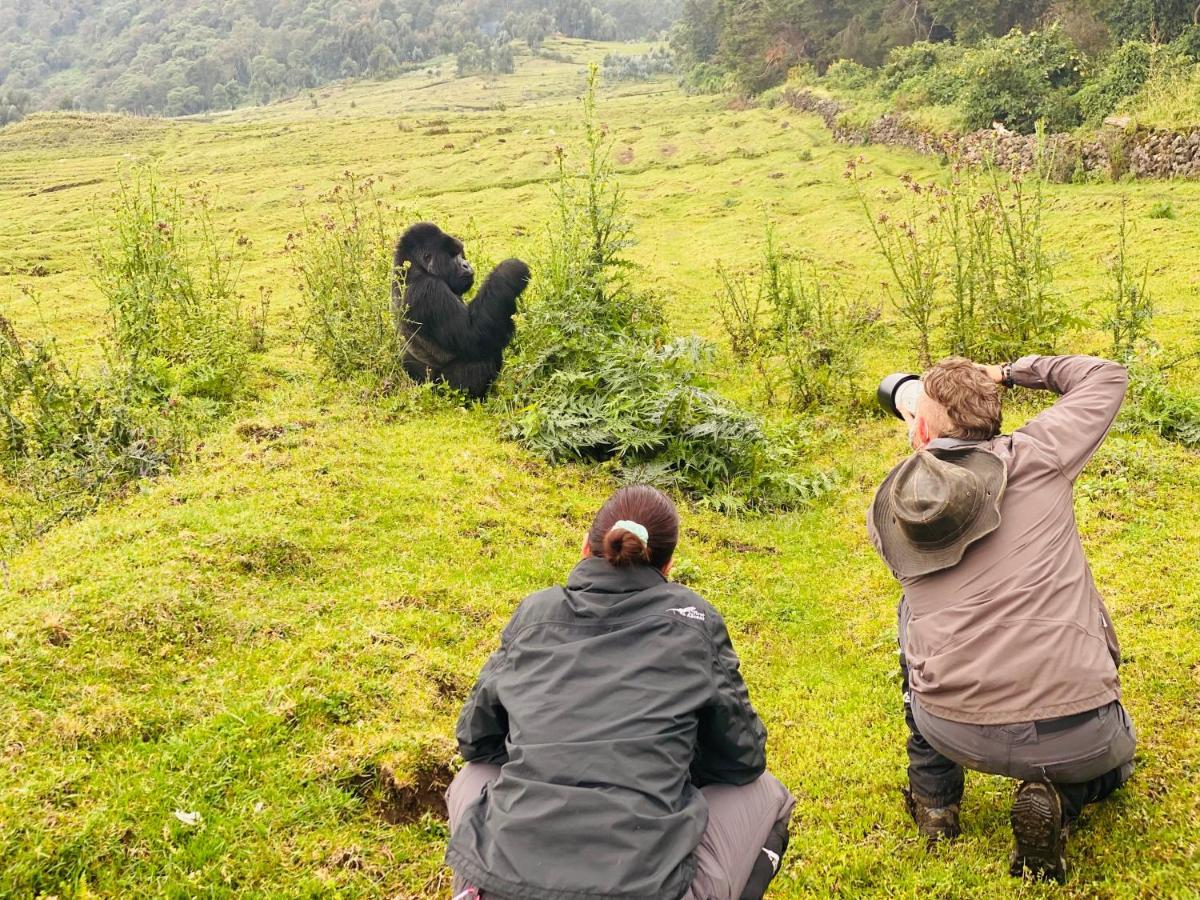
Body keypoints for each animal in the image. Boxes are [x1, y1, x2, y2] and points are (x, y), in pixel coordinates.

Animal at [393, 222, 530, 398]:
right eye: (452, 256)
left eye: (460, 253)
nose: (466, 264)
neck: (413, 268)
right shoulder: (429, 289)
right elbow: (474, 335)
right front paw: (509, 270)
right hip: (444, 390)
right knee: (483, 359)